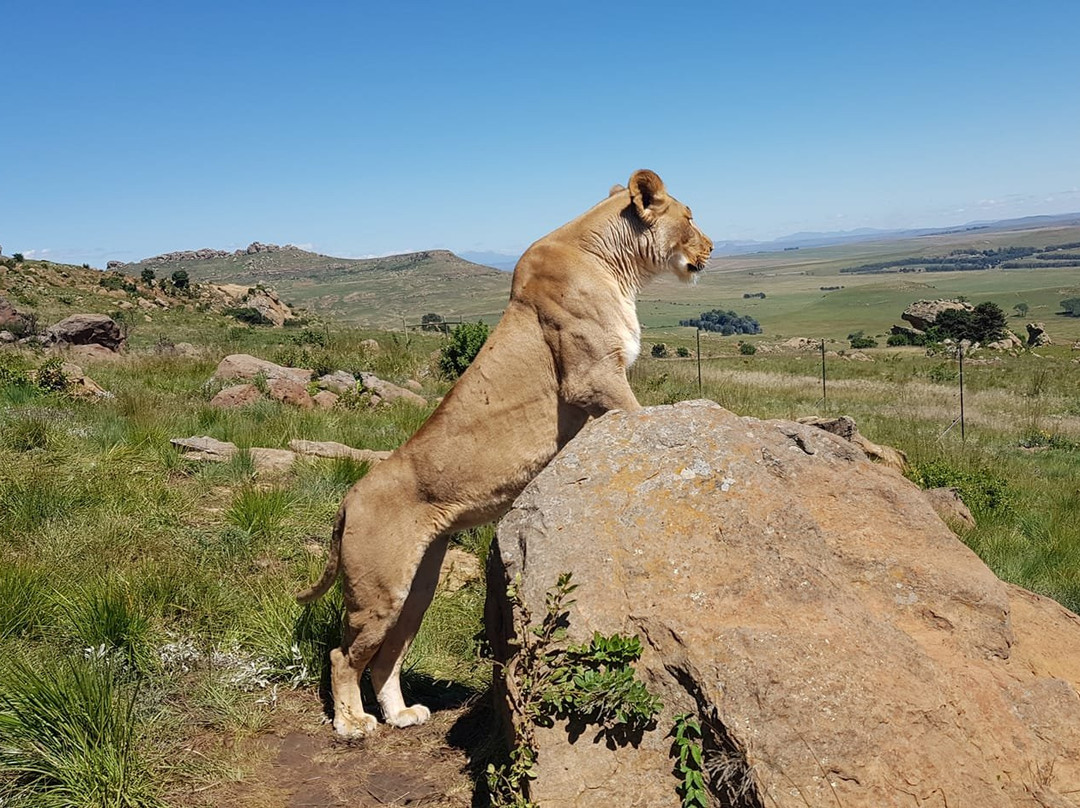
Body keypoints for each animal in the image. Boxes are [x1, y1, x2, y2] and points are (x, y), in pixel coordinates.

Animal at [296, 169, 713, 737]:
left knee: (387, 657)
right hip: (378, 590)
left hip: (417, 589)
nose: (711, 248)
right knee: (343, 656)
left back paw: (401, 714)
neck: (614, 263)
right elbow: (639, 413)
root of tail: (347, 498)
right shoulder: (591, 378)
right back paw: (353, 723)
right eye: (689, 218)